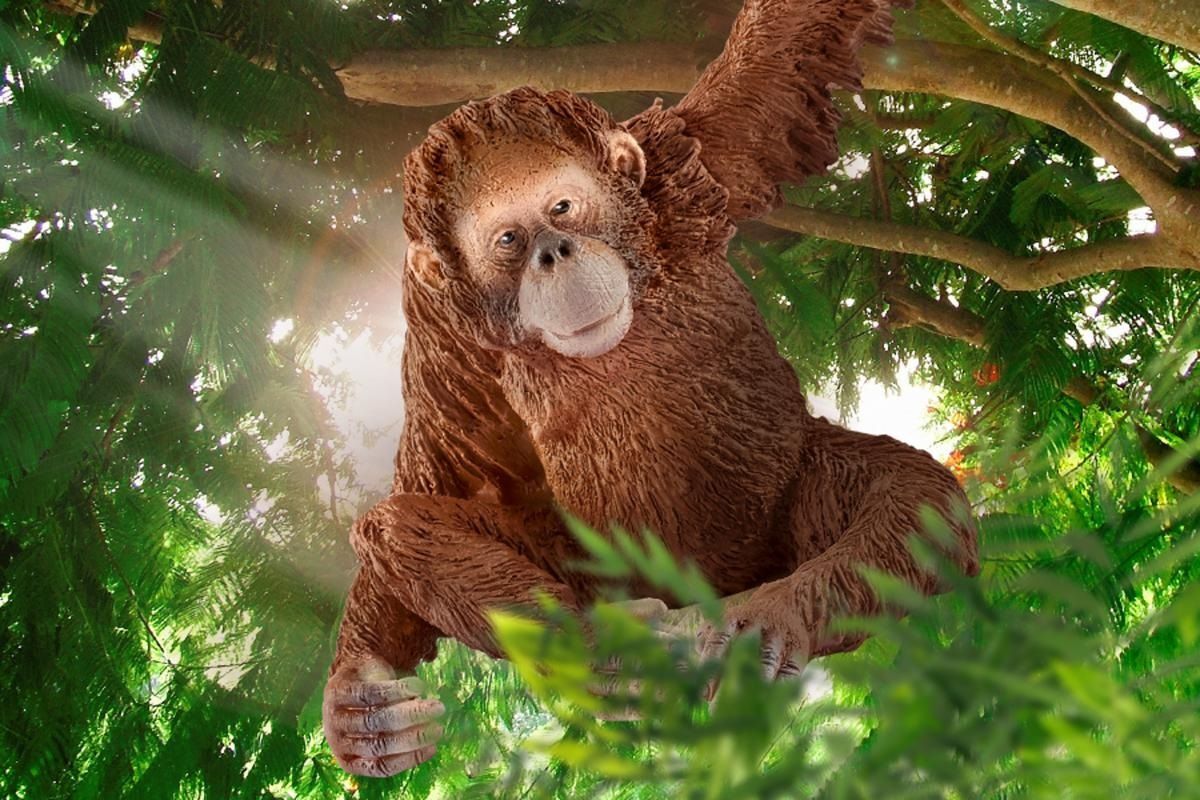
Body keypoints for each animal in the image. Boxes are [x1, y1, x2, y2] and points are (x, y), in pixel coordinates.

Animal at [322, 0, 979, 778]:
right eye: (509, 240)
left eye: (563, 208)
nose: (554, 252)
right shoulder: (438, 331)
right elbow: (444, 474)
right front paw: (359, 697)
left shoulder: (693, 160)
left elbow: (789, 44)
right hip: (600, 570)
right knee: (393, 525)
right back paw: (598, 651)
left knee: (914, 498)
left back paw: (771, 617)